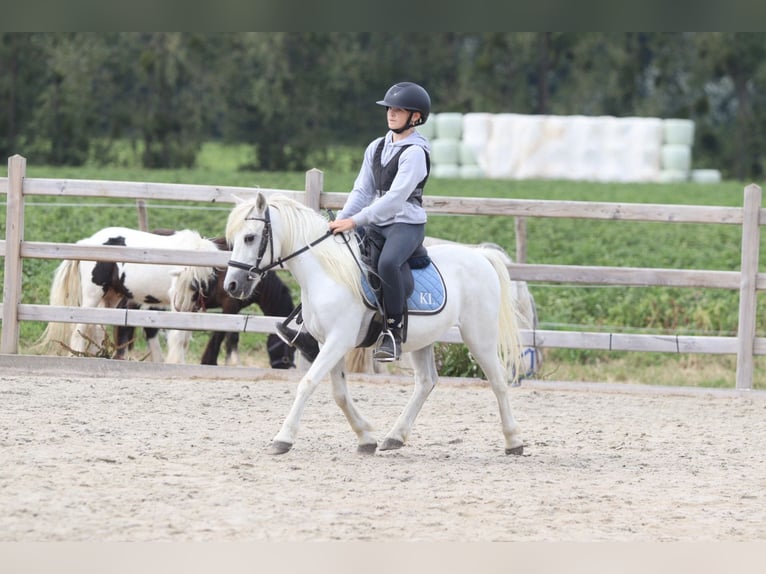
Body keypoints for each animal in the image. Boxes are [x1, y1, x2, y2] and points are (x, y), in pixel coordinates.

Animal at [33, 226, 220, 362]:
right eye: (179, 281)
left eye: (197, 285)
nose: (180, 305)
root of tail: (87, 242)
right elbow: (178, 338)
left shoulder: (192, 308)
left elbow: (183, 339)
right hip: (92, 297)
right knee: (80, 329)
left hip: (110, 298)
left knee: (97, 329)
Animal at [223, 193, 525, 456]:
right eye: (233, 239)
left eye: (250, 237)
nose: (232, 285)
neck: (325, 274)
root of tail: (481, 256)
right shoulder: (326, 342)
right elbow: (339, 393)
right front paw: (366, 437)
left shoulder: (338, 340)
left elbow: (308, 383)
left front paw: (282, 438)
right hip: (423, 340)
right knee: (426, 382)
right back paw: (395, 436)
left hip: (479, 335)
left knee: (498, 380)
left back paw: (513, 441)